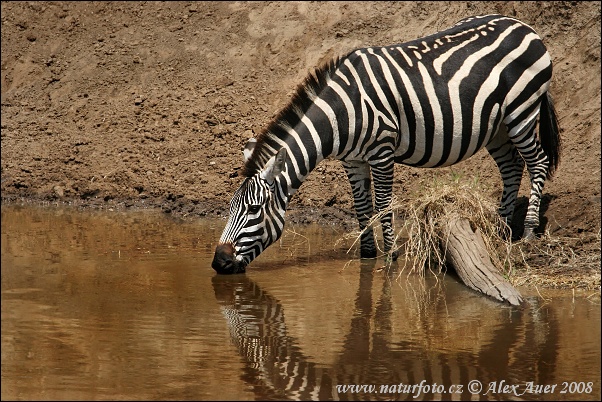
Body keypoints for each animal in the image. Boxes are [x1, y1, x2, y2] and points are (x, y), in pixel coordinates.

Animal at [211, 14, 556, 274]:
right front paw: (367, 255)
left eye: (254, 210)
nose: (218, 262)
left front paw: (390, 258)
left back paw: (527, 232)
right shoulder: (352, 160)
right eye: (229, 208)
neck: (342, 113)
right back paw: (501, 229)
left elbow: (383, 205)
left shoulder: (382, 151)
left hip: (522, 112)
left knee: (537, 162)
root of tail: (523, 25)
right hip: (497, 127)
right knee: (512, 167)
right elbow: (362, 207)